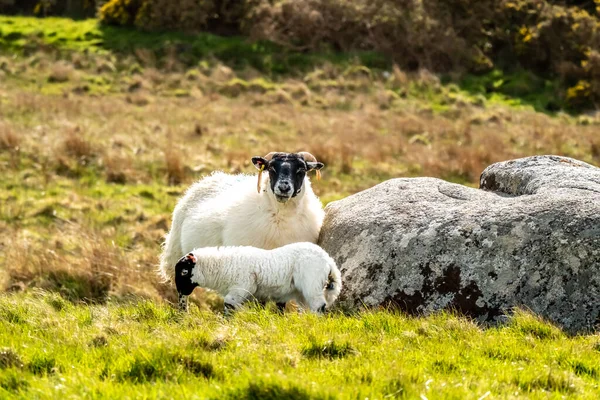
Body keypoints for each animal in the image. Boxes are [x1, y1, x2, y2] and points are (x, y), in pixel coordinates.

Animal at [158, 151, 324, 284]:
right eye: (271, 169)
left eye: (301, 170)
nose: (283, 188)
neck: (280, 217)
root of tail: (210, 178)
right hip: (176, 252)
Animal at [173, 242, 342, 314]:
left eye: (184, 272)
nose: (181, 295)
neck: (221, 267)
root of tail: (328, 260)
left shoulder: (242, 287)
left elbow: (229, 305)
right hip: (303, 292)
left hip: (312, 284)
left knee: (319, 306)